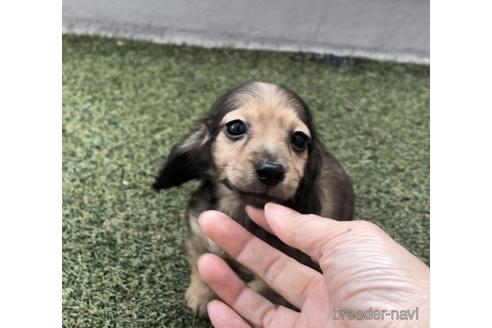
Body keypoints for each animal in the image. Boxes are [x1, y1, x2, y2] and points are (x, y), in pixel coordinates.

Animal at [154, 80, 354, 316]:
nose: (271, 171)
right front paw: (201, 296)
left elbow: (262, 289)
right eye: (236, 127)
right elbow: (202, 262)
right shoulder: (197, 234)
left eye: (299, 139)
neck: (240, 207)